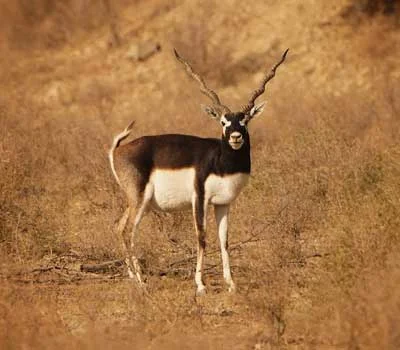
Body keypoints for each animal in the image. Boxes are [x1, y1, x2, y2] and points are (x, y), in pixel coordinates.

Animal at [110, 48, 288, 296]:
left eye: (244, 121)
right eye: (223, 122)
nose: (235, 137)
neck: (222, 163)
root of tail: (118, 150)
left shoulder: (223, 203)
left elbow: (224, 240)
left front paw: (231, 284)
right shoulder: (200, 199)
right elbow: (201, 238)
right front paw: (201, 285)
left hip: (137, 203)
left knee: (119, 227)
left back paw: (132, 278)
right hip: (139, 200)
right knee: (128, 231)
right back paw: (141, 282)